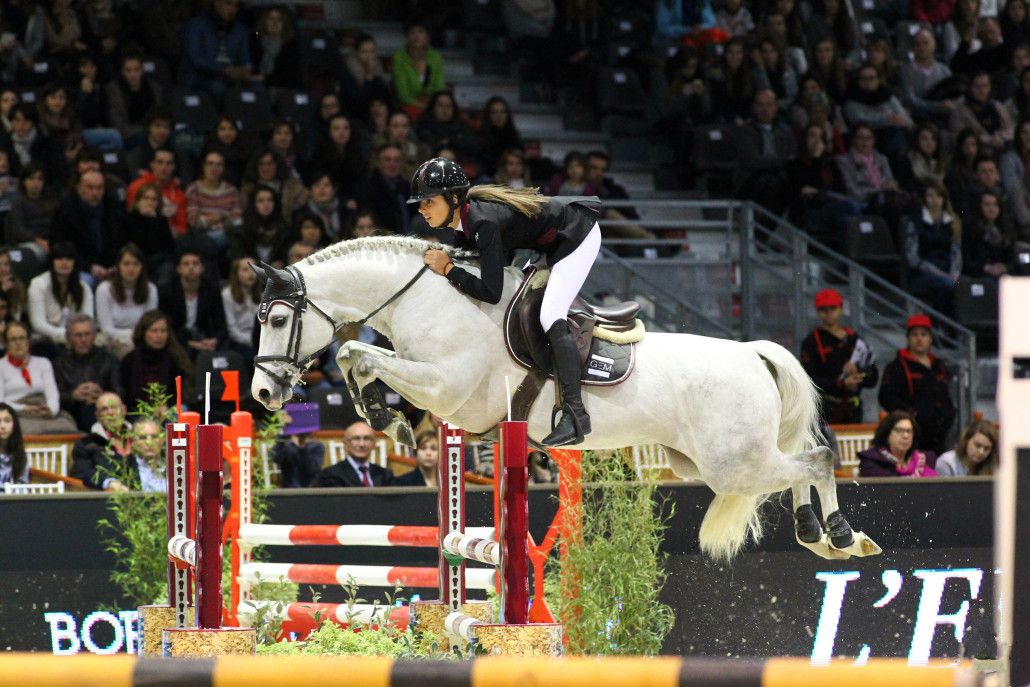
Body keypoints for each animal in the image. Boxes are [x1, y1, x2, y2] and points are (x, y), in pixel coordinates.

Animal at [250, 235, 880, 561]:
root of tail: (753, 351)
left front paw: (390, 418)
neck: (430, 298)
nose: (260, 391)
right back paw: (817, 535)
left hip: (732, 462)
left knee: (816, 459)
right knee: (798, 463)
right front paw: (385, 416)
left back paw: (840, 536)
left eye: (279, 319)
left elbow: (358, 353)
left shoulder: (448, 389)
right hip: (712, 464)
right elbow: (355, 357)